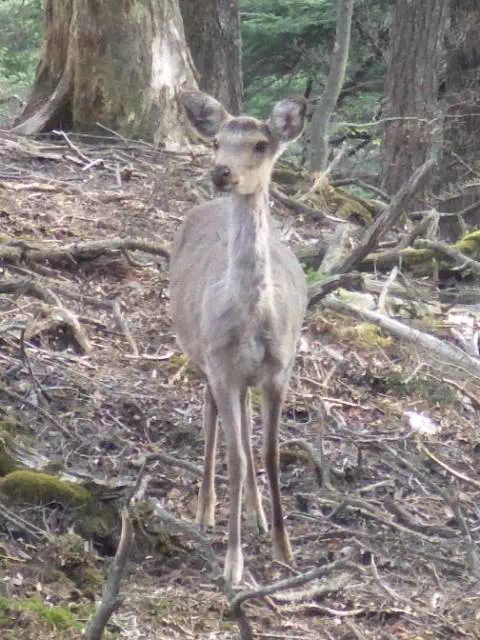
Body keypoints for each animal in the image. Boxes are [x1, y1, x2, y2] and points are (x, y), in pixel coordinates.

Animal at [169, 90, 307, 585]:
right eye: (216, 143)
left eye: (261, 144)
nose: (221, 172)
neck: (253, 319)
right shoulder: (222, 365)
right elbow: (236, 456)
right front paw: (233, 563)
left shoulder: (279, 370)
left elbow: (268, 453)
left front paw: (284, 548)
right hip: (201, 353)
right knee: (211, 416)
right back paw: (206, 511)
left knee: (245, 431)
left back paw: (257, 517)